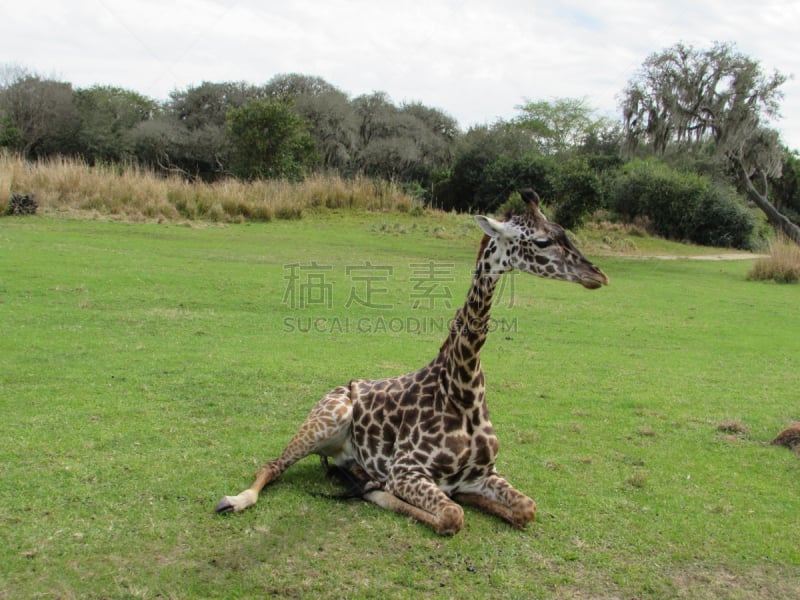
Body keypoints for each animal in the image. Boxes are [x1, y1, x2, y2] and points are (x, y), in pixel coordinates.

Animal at [216, 189, 608, 536]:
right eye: (541, 241)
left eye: (563, 231)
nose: (598, 275)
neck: (463, 388)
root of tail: (340, 388)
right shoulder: (406, 471)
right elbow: (451, 515)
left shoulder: (484, 473)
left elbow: (526, 508)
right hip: (328, 418)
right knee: (273, 465)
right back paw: (236, 500)